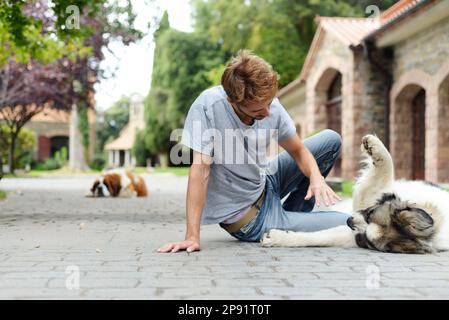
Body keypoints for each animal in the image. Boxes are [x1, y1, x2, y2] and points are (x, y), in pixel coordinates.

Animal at [260, 134, 448, 254]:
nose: (349, 221)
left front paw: (278, 238)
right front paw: (374, 145)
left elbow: (318, 237)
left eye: (368, 240)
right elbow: (387, 166)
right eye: (371, 214)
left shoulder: (354, 232)